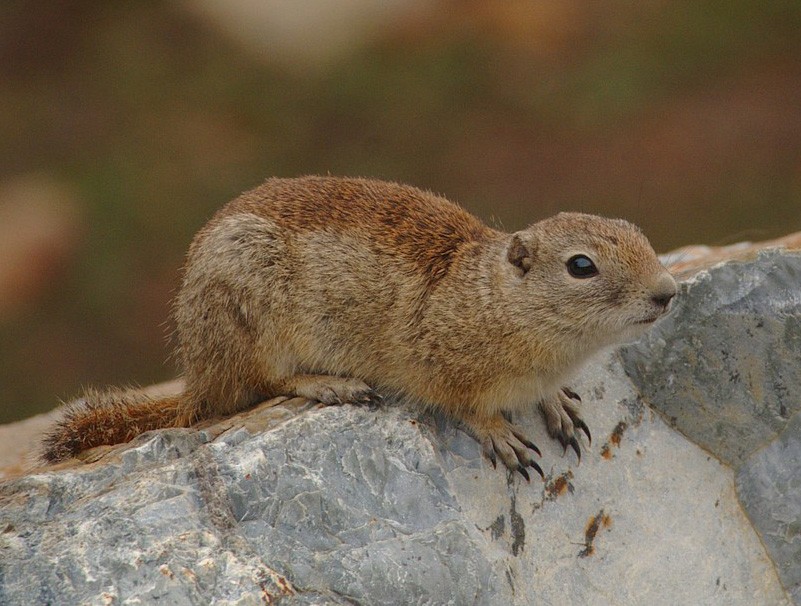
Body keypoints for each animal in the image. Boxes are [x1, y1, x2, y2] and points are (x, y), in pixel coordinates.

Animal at [42, 176, 676, 480]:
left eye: (640, 233)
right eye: (581, 266)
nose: (669, 292)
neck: (494, 298)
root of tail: (197, 375)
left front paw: (558, 404)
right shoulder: (439, 366)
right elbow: (465, 406)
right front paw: (501, 434)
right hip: (252, 325)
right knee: (258, 386)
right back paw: (332, 384)